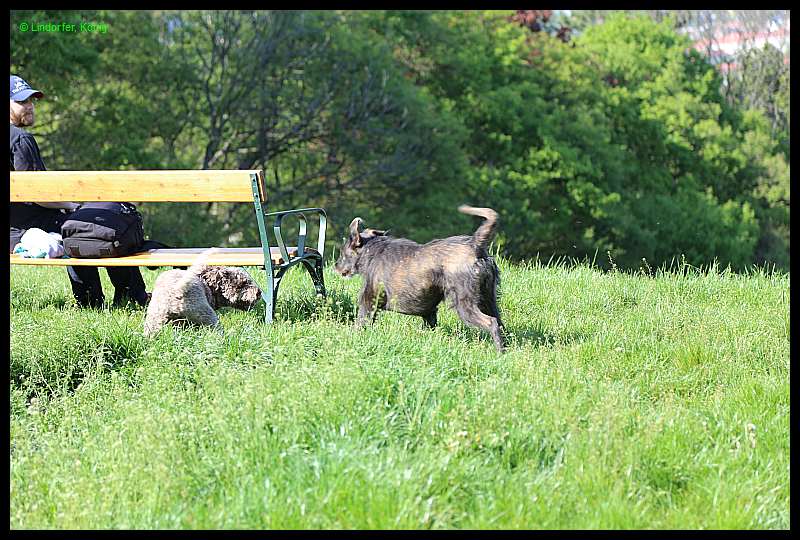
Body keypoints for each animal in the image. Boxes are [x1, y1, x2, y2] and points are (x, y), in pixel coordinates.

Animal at [334, 205, 505, 351]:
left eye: (342, 253)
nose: (335, 266)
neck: (372, 250)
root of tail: (475, 245)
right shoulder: (429, 312)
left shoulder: (369, 302)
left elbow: (361, 323)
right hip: (488, 299)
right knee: (499, 322)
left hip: (464, 304)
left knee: (491, 323)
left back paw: (499, 352)